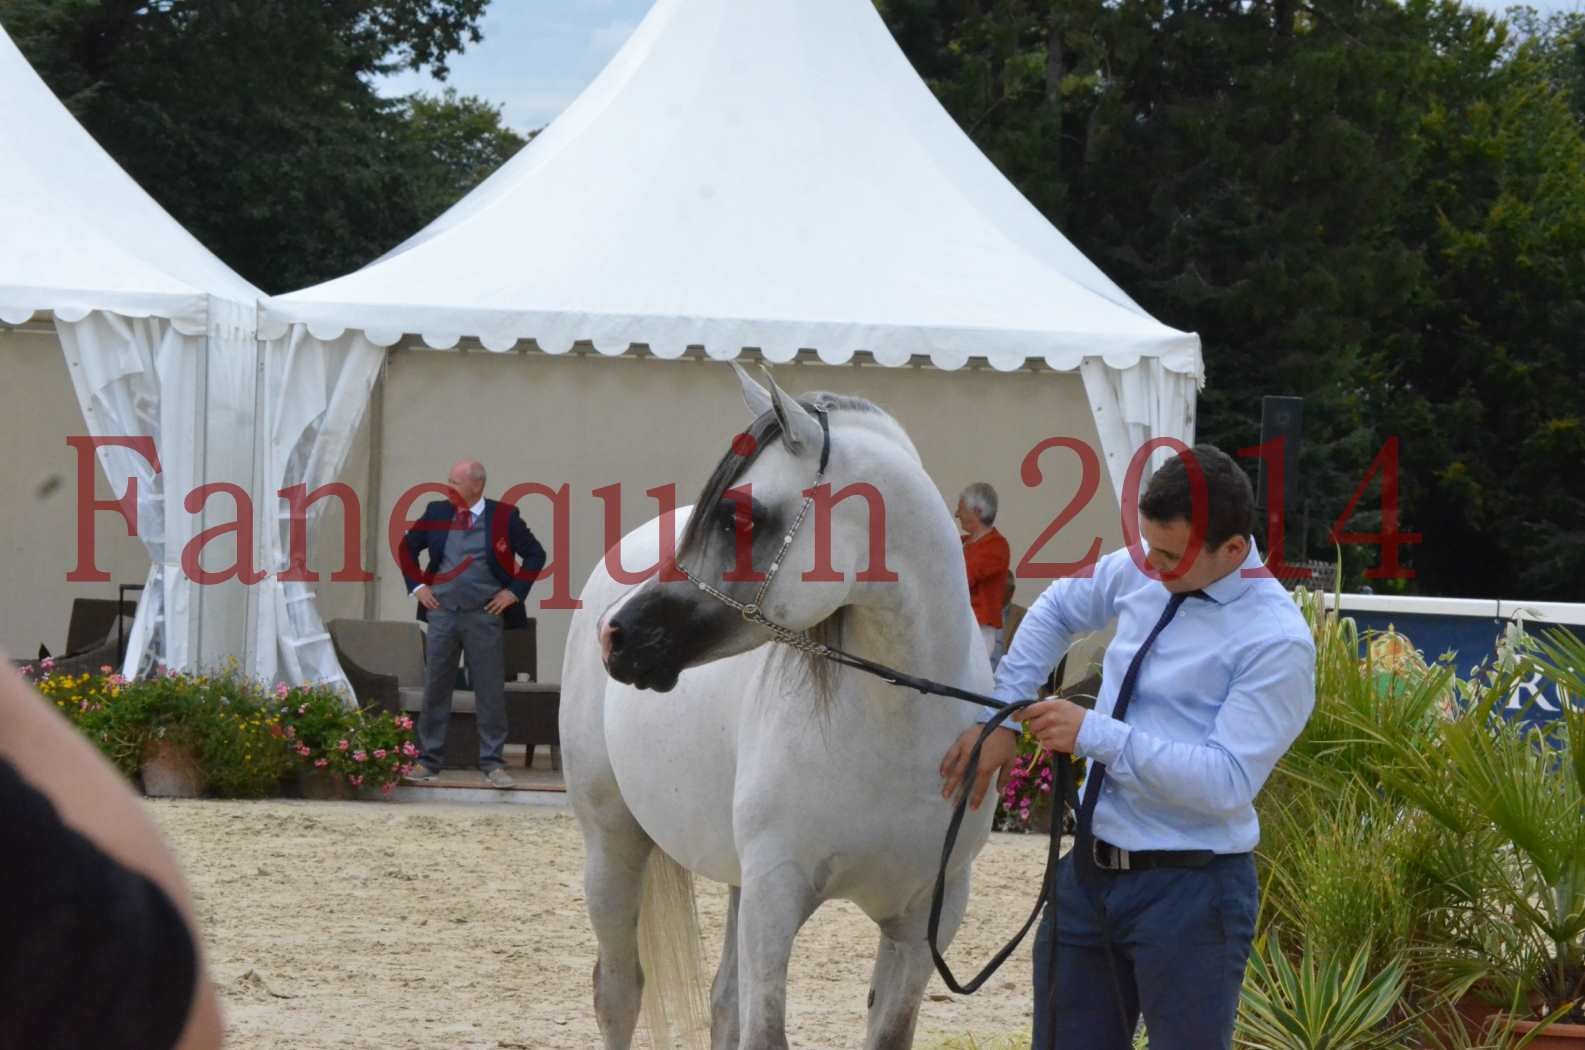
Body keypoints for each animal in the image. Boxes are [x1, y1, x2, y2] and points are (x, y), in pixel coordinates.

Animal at [564, 366, 995, 1046]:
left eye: (739, 515)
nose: (618, 635)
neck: (897, 731)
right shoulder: (775, 895)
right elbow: (764, 1029)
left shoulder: (929, 915)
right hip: (612, 844)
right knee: (618, 992)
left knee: (721, 1000)